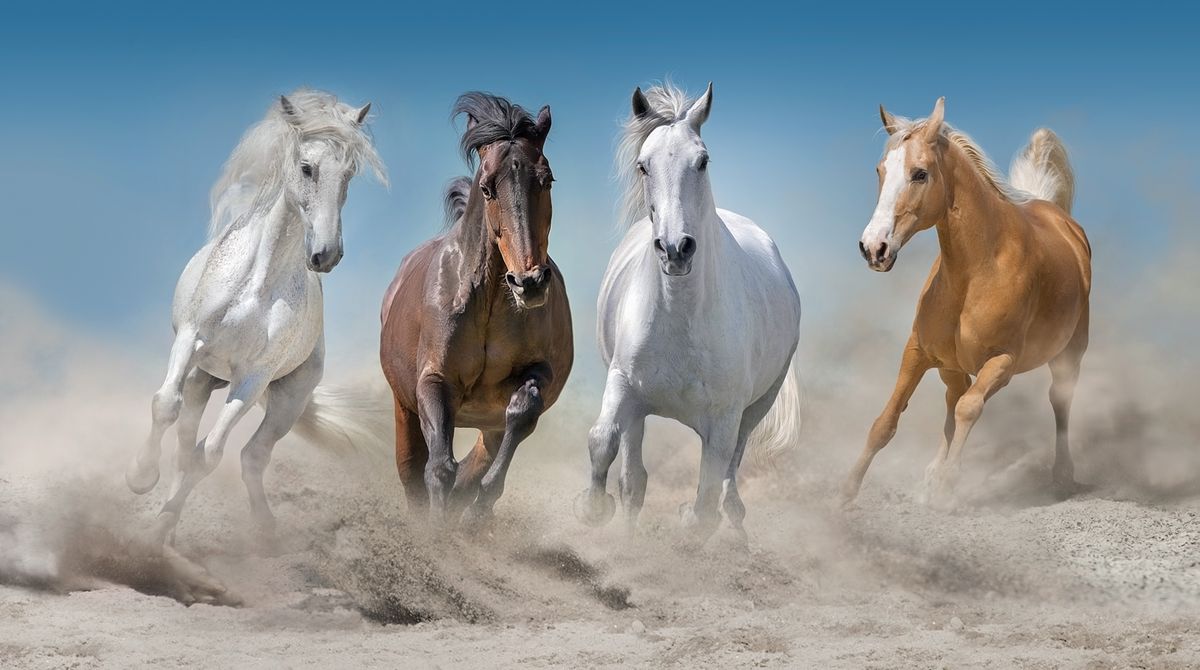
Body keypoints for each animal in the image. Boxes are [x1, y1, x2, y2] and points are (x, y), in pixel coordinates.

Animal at [125, 90, 386, 598]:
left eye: (349, 175)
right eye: (306, 167)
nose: (326, 255)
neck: (257, 283)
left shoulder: (253, 378)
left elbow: (210, 454)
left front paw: (155, 531)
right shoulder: (191, 339)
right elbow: (164, 405)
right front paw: (140, 478)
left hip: (286, 399)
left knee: (249, 456)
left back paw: (259, 533)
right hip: (203, 376)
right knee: (184, 433)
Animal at [379, 92, 573, 526]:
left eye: (547, 179)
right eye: (486, 188)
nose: (529, 282)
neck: (487, 303)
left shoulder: (538, 373)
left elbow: (522, 412)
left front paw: (480, 505)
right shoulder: (434, 381)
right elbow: (438, 468)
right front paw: (437, 530)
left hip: (487, 423)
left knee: (482, 454)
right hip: (403, 407)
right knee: (410, 469)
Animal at [574, 83, 803, 543]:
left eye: (702, 160)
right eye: (643, 165)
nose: (676, 248)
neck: (681, 319)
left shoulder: (725, 418)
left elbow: (706, 500)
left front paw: (688, 522)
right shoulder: (623, 384)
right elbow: (602, 440)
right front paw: (592, 508)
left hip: (756, 408)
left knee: (730, 475)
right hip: (639, 410)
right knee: (633, 477)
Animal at [841, 97, 1090, 508]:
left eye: (920, 174)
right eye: (880, 170)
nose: (873, 248)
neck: (975, 273)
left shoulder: (1003, 362)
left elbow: (969, 408)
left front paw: (947, 488)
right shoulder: (918, 352)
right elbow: (886, 422)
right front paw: (844, 495)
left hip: (1069, 354)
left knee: (1059, 401)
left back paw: (1063, 476)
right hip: (950, 366)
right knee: (951, 397)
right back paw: (930, 474)